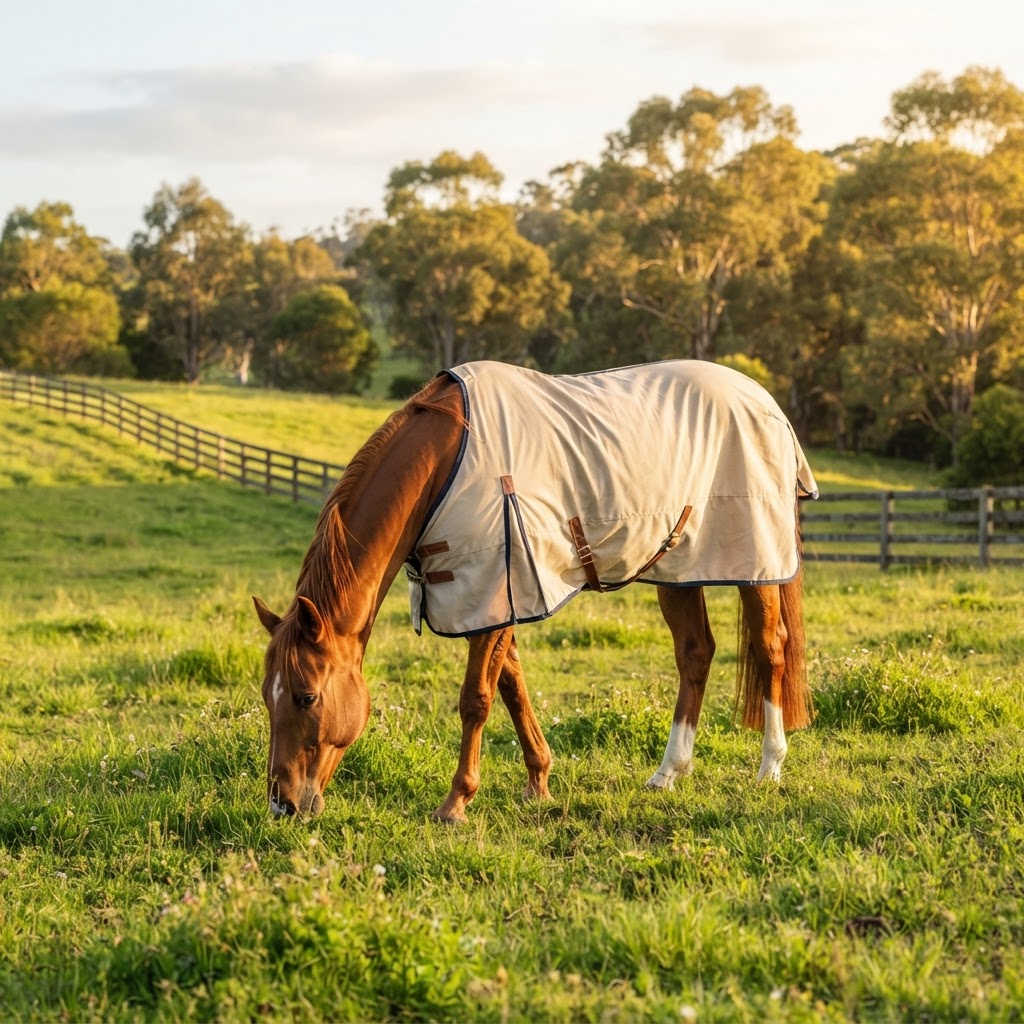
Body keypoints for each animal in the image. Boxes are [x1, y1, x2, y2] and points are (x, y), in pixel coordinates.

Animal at [253, 359, 818, 824]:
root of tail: (766, 403)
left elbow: (477, 699)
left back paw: (770, 767)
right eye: (266, 695)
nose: (282, 804)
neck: (447, 460)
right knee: (695, 654)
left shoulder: (492, 593)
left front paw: (456, 802)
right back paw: (668, 773)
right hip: (679, 569)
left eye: (306, 696)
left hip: (755, 562)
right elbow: (513, 687)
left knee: (770, 648)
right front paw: (539, 782)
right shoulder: (502, 596)